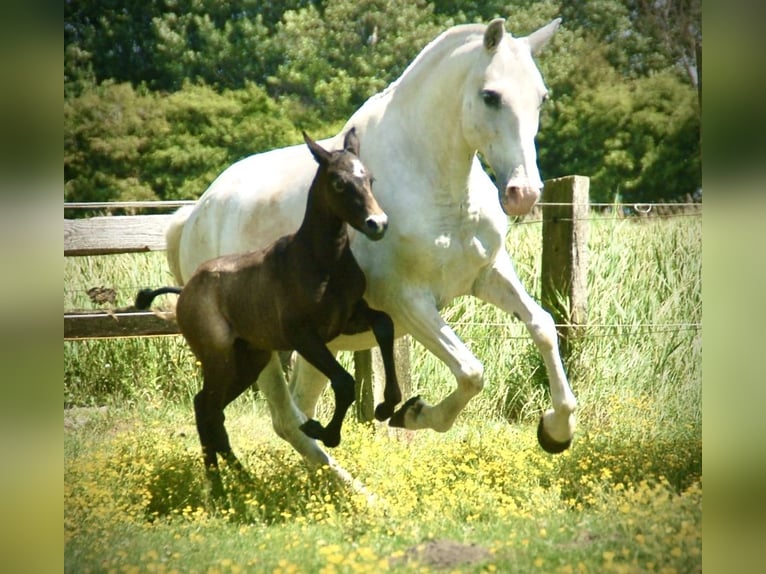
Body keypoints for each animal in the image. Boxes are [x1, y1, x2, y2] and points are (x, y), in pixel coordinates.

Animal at [136, 129, 402, 496]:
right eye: (337, 182)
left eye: (369, 179)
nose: (378, 224)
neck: (321, 261)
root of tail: (185, 292)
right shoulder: (304, 336)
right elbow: (345, 382)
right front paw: (323, 431)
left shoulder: (347, 321)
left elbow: (385, 325)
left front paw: (388, 403)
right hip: (219, 359)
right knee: (206, 409)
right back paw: (220, 490)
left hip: (249, 360)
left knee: (210, 410)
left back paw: (242, 484)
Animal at [164, 18, 577, 487]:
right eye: (491, 96)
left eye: (541, 97)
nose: (524, 194)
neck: (435, 184)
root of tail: (194, 216)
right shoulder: (409, 303)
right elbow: (471, 372)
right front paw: (412, 413)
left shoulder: (487, 275)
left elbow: (543, 326)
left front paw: (556, 431)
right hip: (256, 351)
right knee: (279, 419)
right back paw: (353, 490)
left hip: (313, 348)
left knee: (297, 415)